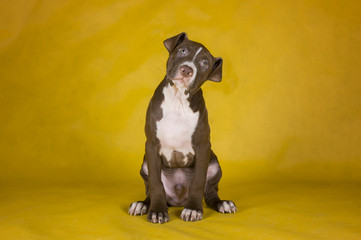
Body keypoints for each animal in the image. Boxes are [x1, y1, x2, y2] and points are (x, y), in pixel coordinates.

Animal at [127, 31, 236, 223]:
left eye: (204, 63)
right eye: (183, 50)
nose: (187, 70)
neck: (178, 100)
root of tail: (177, 200)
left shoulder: (203, 147)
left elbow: (198, 181)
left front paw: (193, 209)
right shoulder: (152, 146)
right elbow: (156, 184)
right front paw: (157, 211)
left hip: (214, 165)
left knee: (210, 194)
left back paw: (223, 203)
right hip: (145, 164)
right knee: (152, 190)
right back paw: (142, 204)